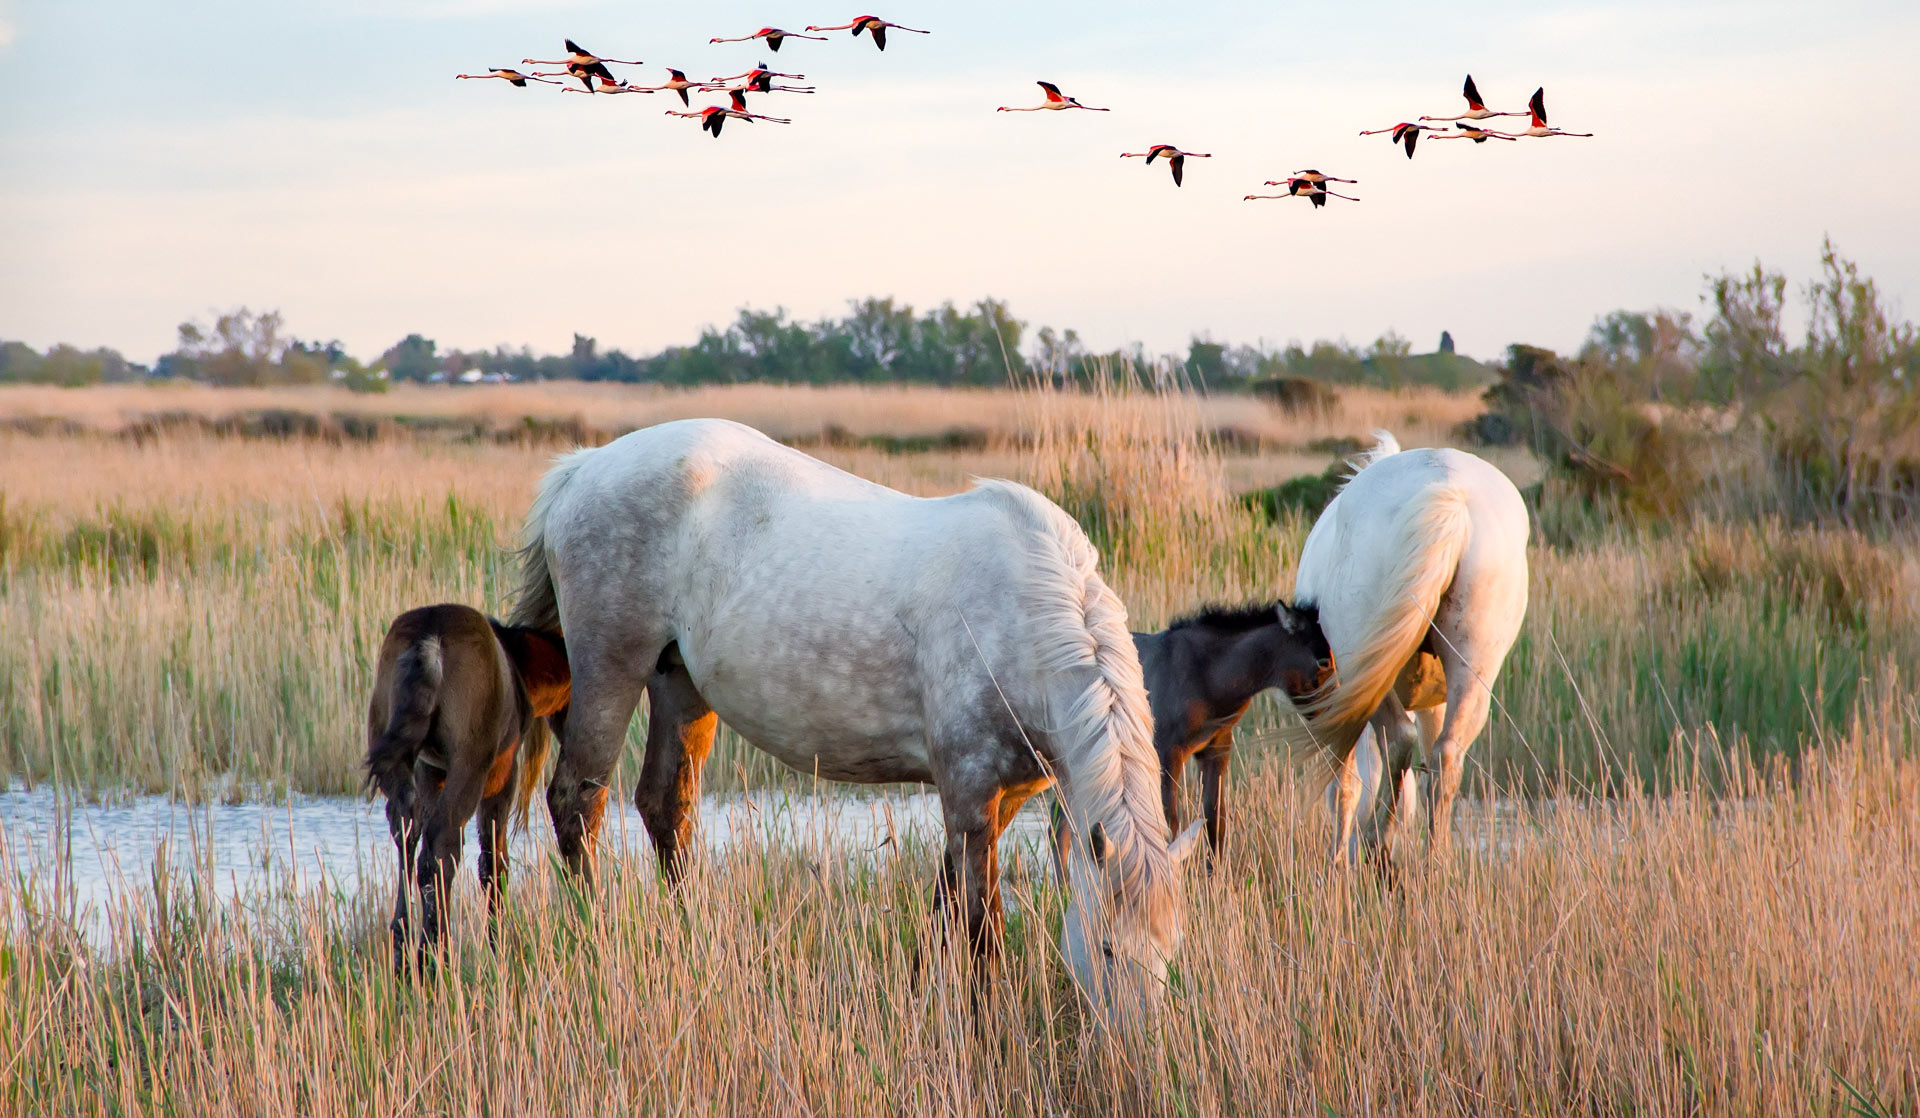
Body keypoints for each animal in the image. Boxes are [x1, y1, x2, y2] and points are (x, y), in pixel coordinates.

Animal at [510, 422, 1198, 1014]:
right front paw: (985, 1024)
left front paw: (920, 994)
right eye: (1107, 949)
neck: (1025, 614)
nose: (1134, 1055)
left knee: (665, 808)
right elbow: (981, 925)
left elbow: (946, 899)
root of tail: (583, 467)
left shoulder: (999, 799)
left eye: (1171, 953)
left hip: (678, 684)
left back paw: (693, 939)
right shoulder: (970, 792)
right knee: (578, 804)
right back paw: (595, 938)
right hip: (610, 670)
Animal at [1290, 434, 1528, 864]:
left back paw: (1377, 843)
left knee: (1398, 739)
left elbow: (1344, 786)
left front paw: (1336, 861)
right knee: (1446, 756)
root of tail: (1450, 494)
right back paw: (1436, 858)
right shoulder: (1433, 702)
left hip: (1362, 668)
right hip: (1473, 668)